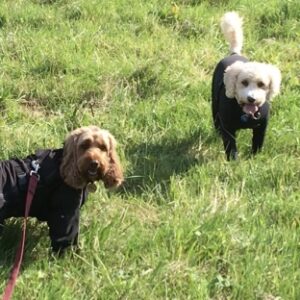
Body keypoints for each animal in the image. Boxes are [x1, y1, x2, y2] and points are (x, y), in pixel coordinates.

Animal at [211, 11, 282, 161]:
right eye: (244, 82)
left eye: (261, 84)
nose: (251, 98)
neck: (245, 114)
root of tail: (234, 53)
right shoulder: (228, 128)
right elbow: (230, 146)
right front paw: (233, 162)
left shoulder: (261, 127)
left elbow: (257, 143)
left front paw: (255, 158)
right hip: (214, 105)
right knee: (216, 120)